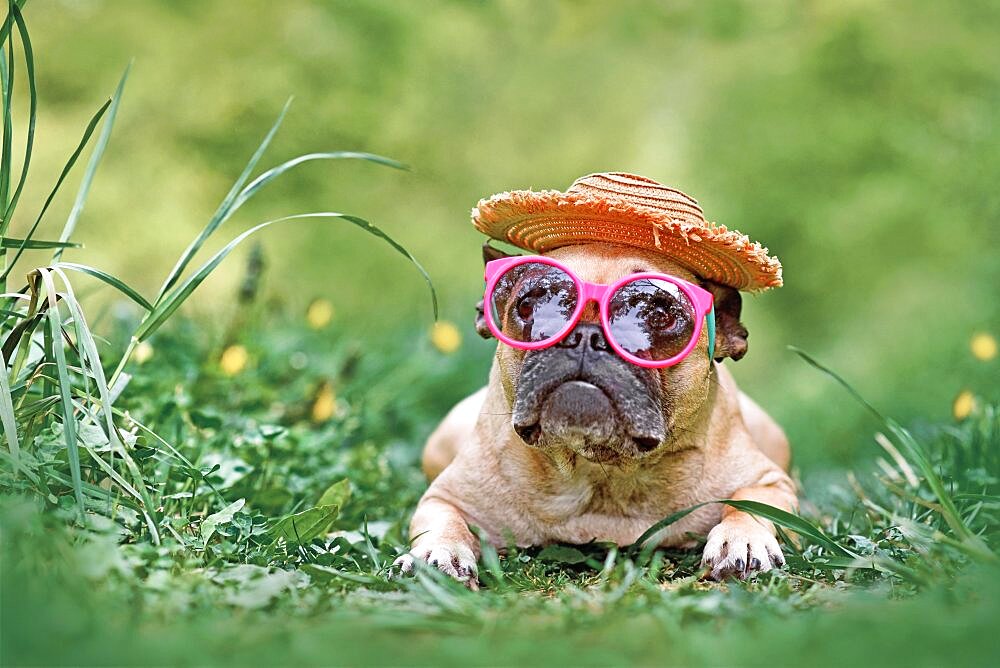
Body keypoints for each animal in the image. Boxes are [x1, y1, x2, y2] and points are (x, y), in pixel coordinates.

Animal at [394, 241, 792, 588]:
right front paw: (437, 553)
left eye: (660, 316)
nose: (585, 335)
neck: (600, 471)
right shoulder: (446, 497)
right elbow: (443, 521)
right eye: (528, 307)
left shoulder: (771, 482)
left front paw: (742, 540)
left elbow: (749, 504)